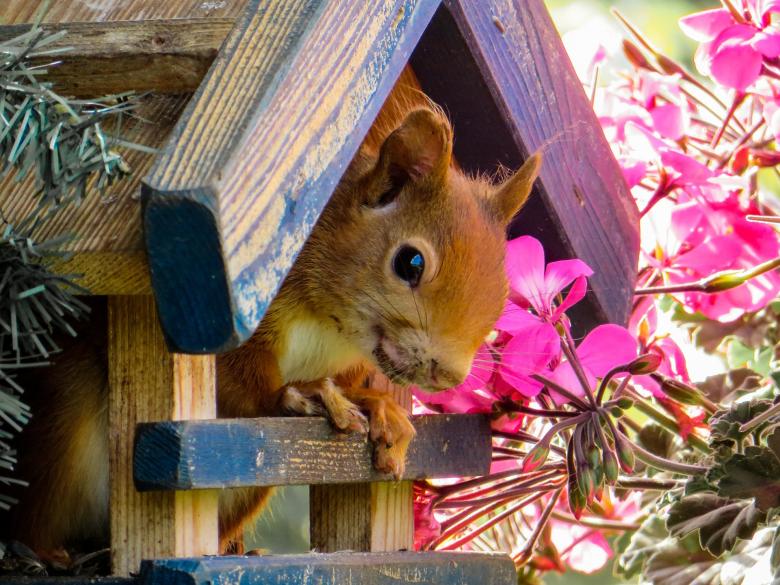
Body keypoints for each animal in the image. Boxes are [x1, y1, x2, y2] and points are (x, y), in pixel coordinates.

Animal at [2, 92, 541, 557]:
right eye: (410, 263)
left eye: (501, 288)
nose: (448, 375)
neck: (332, 331)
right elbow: (236, 386)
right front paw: (301, 396)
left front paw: (381, 408)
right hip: (61, 440)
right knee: (38, 509)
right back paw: (47, 553)